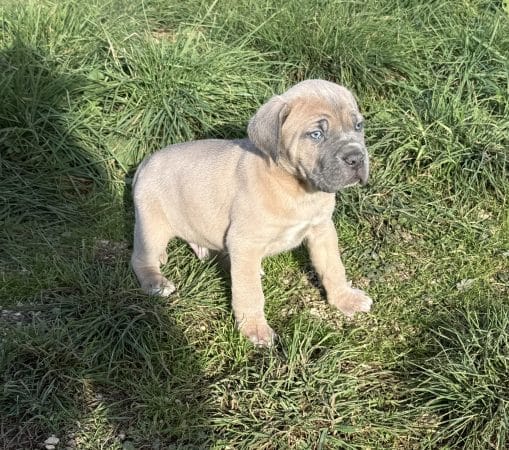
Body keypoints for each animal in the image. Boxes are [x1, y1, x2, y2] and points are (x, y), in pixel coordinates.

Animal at [130, 79, 370, 346]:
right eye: (316, 134)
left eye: (358, 126)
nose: (356, 158)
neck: (298, 190)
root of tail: (145, 163)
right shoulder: (245, 241)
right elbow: (250, 292)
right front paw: (255, 329)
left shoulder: (322, 230)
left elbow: (333, 267)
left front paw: (345, 298)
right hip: (153, 224)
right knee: (140, 258)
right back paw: (155, 281)